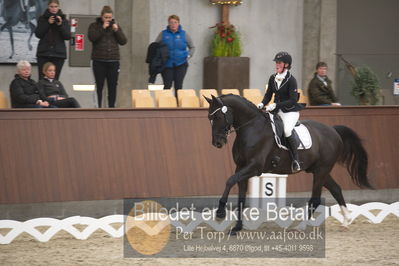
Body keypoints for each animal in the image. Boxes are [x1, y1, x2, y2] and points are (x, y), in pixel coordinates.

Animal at [206, 93, 372, 233]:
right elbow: (240, 196)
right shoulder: (241, 167)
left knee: (316, 199)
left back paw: (301, 227)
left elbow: (229, 181)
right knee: (336, 189)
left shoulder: (254, 167)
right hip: (319, 171)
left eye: (219, 116)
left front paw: (220, 212)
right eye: (209, 118)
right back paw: (346, 221)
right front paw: (237, 228)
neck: (251, 128)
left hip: (321, 171)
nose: (217, 143)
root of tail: (333, 131)